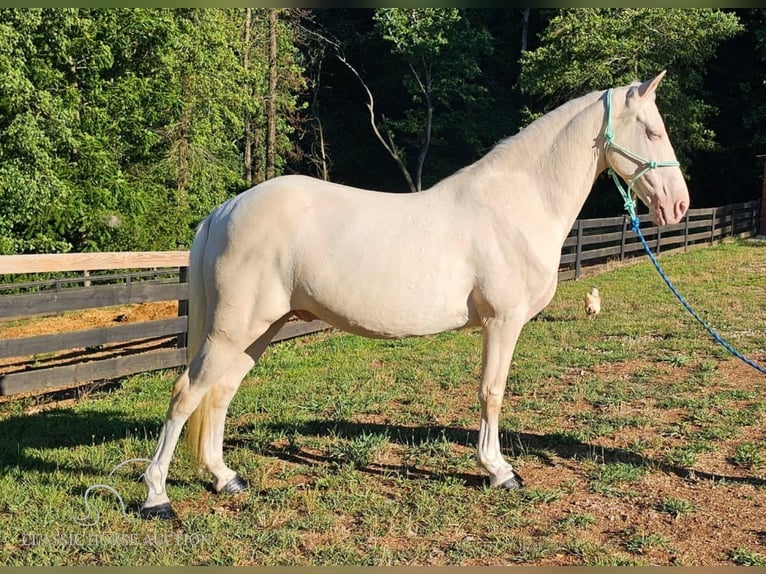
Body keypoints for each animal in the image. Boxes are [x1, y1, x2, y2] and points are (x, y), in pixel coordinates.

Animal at [141, 72, 692, 520]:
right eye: (652, 130)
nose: (679, 205)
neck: (517, 204)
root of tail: (224, 210)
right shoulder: (503, 322)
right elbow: (492, 392)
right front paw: (499, 471)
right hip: (234, 328)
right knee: (186, 392)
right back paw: (156, 498)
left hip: (258, 328)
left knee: (219, 393)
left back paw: (225, 479)